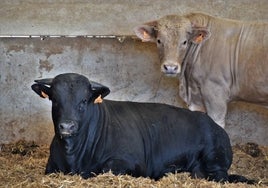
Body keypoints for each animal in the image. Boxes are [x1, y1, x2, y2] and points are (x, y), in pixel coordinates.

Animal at [30, 73, 253, 184]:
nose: (67, 126)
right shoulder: (51, 167)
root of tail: (215, 126)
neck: (74, 156)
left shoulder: (129, 162)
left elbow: (104, 169)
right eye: (55, 100)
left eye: (84, 101)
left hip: (214, 162)